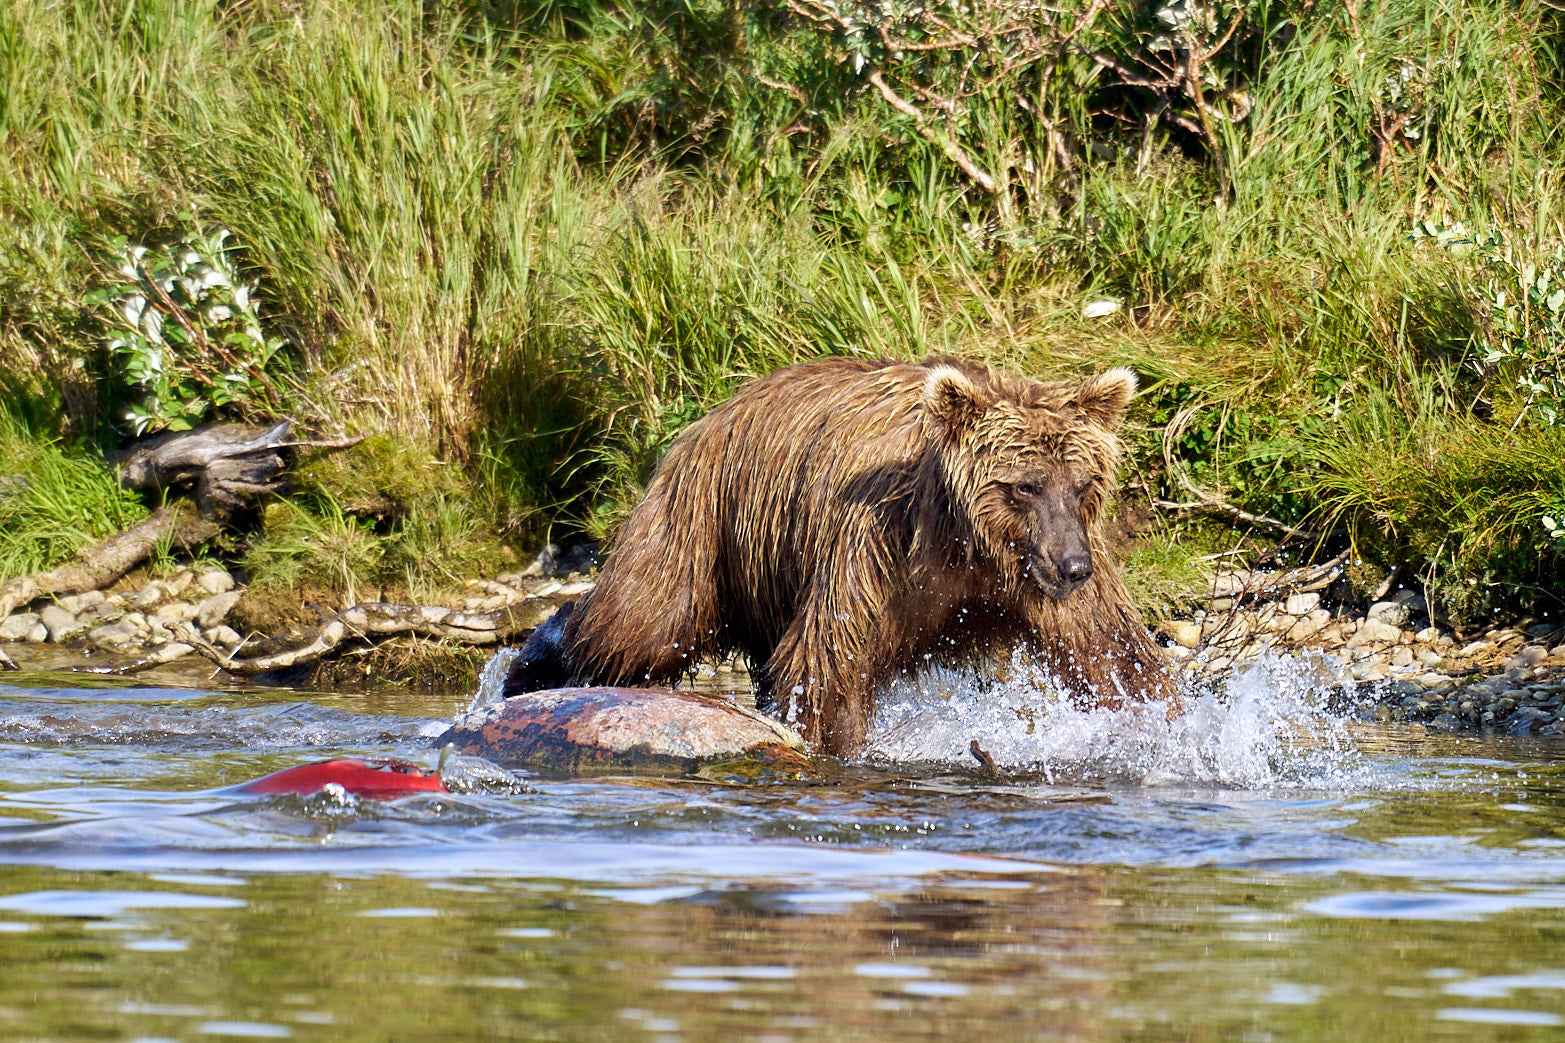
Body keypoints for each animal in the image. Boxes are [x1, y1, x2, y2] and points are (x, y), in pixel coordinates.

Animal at [504, 355, 1179, 755]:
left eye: (1083, 484)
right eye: (1024, 486)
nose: (1072, 567)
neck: (968, 546)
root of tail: (708, 417)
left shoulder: (1039, 576)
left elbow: (1113, 655)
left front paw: (1158, 727)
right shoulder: (876, 549)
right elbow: (830, 659)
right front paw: (841, 747)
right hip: (705, 525)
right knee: (641, 621)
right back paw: (532, 665)